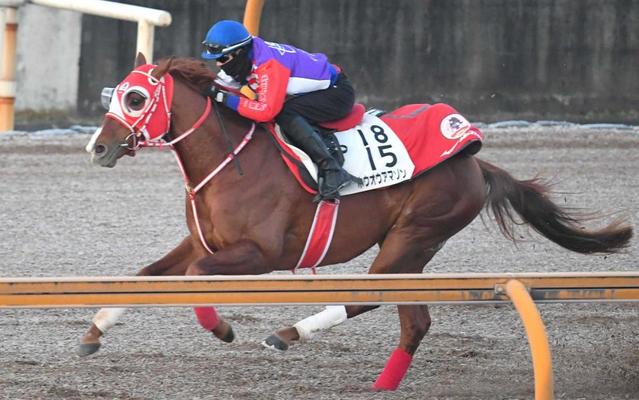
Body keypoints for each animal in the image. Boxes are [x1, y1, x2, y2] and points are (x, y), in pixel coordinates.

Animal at [82, 54, 632, 390]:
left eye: (135, 99)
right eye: (115, 95)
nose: (98, 148)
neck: (228, 159)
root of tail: (474, 160)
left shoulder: (259, 254)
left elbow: (194, 280)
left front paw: (222, 329)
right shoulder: (203, 243)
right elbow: (146, 276)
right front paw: (94, 332)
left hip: (413, 236)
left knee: (371, 295)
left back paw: (287, 334)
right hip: (412, 251)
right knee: (415, 320)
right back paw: (382, 385)